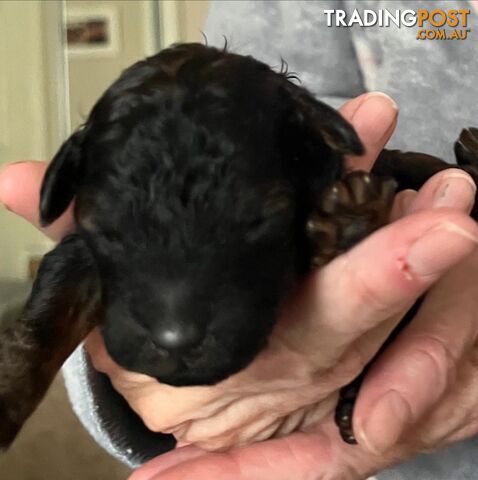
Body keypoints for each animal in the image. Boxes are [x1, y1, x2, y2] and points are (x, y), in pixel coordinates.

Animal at [0, 42, 478, 450]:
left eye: (258, 221)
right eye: (108, 230)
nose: (176, 341)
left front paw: (348, 222)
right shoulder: (78, 252)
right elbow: (46, 315)